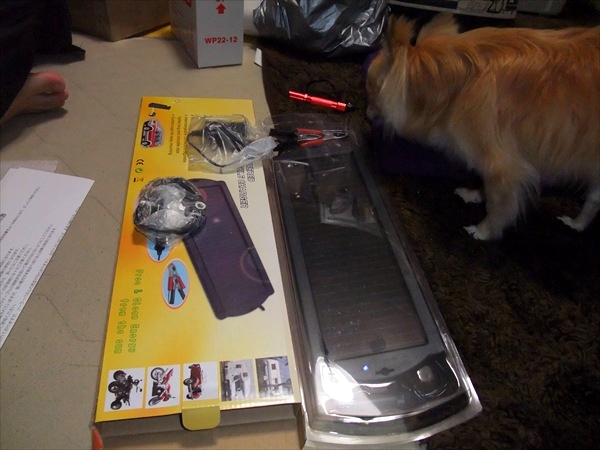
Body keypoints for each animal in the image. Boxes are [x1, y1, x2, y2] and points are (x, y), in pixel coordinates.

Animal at [366, 14, 600, 240]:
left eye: (371, 91)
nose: (366, 114)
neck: (454, 85)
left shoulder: (504, 168)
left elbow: (498, 206)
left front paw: (483, 231)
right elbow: (486, 187)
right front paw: (474, 195)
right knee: (593, 201)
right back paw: (576, 224)